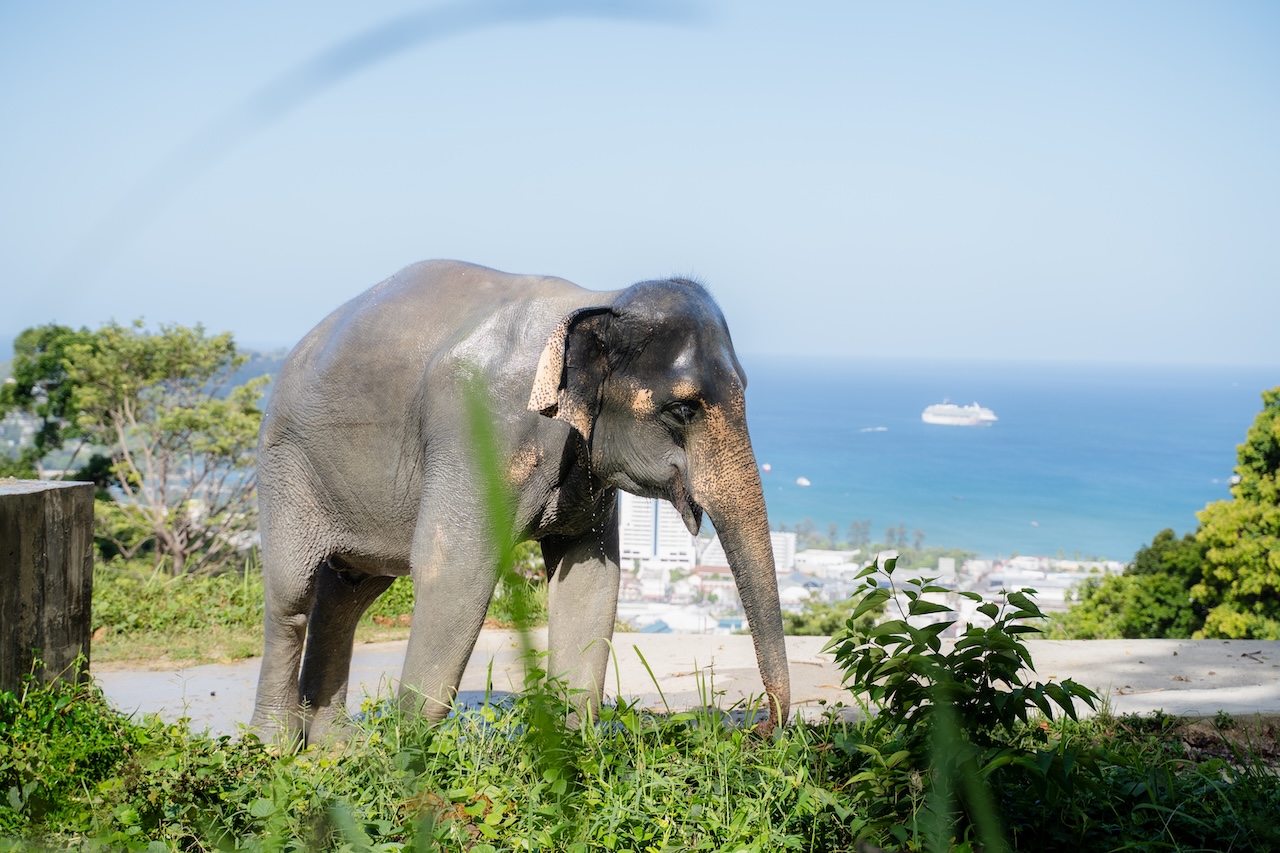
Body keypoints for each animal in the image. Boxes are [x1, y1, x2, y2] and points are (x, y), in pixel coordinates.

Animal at [248, 259, 790, 744]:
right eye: (682, 410)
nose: (757, 728)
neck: (602, 300)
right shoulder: (483, 427)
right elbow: (453, 569)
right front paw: (405, 759)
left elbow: (591, 579)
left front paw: (574, 747)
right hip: (287, 467)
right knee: (291, 597)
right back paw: (275, 745)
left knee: (348, 593)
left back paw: (332, 745)